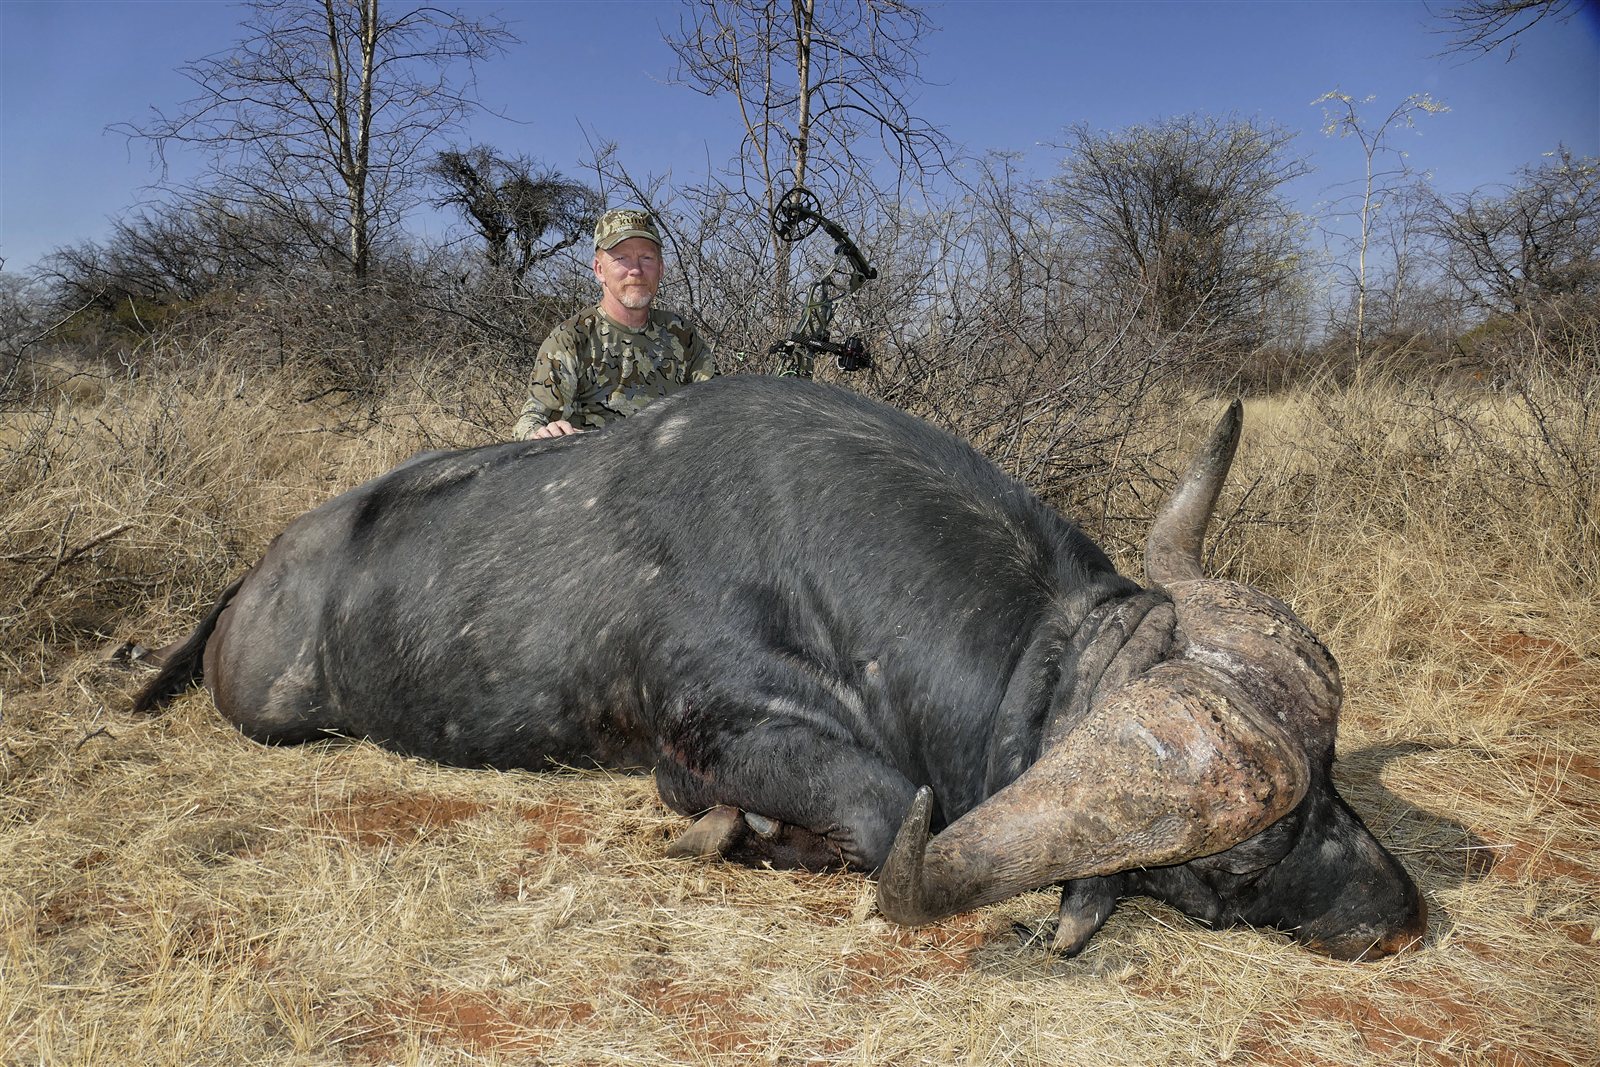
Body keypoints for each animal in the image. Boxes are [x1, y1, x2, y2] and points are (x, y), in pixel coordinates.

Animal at [136, 375, 1425, 960]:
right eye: (1240, 858)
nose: (1405, 916)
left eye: (1330, 779)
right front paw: (738, 832)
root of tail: (265, 567)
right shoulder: (723, 734)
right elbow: (873, 807)